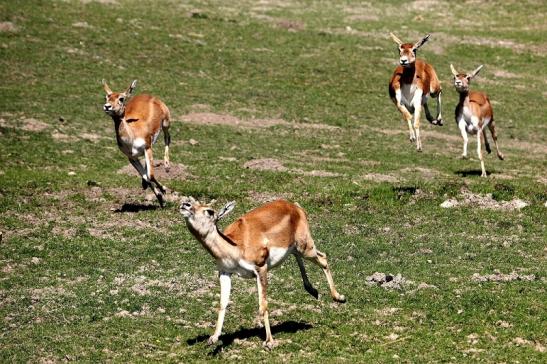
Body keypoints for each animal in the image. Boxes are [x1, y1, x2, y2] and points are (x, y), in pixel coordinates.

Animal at [180, 198, 346, 348]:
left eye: (209, 211)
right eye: (194, 202)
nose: (184, 204)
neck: (236, 247)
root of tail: (296, 207)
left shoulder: (261, 268)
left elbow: (263, 305)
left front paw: (270, 342)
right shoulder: (224, 272)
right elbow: (223, 303)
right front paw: (213, 338)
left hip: (305, 247)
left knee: (323, 258)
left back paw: (339, 297)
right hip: (297, 248)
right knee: (301, 256)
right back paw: (313, 291)